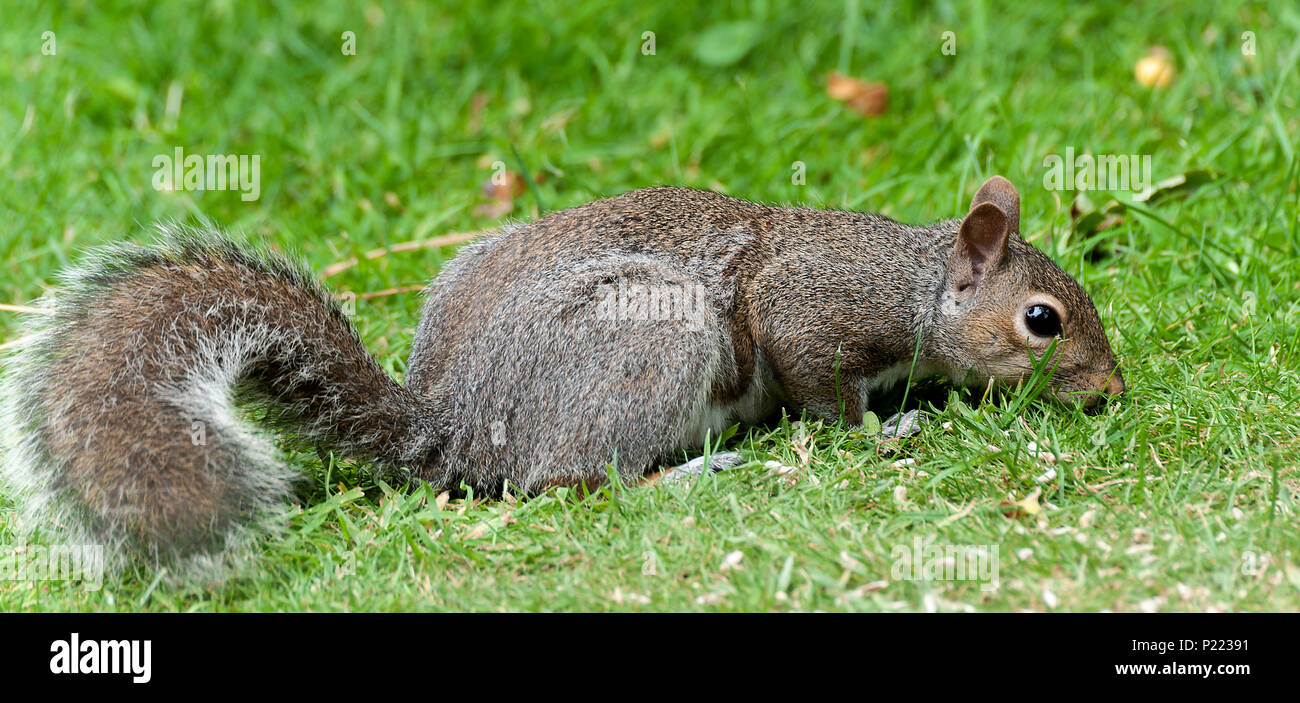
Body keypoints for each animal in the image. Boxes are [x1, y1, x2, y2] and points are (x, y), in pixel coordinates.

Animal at [0, 175, 1118, 574]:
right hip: (654, 344)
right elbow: (824, 391)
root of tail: (456, 419)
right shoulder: (810, 309)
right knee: (566, 479)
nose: (1109, 393)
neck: (917, 281)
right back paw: (690, 471)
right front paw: (885, 429)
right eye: (1042, 319)